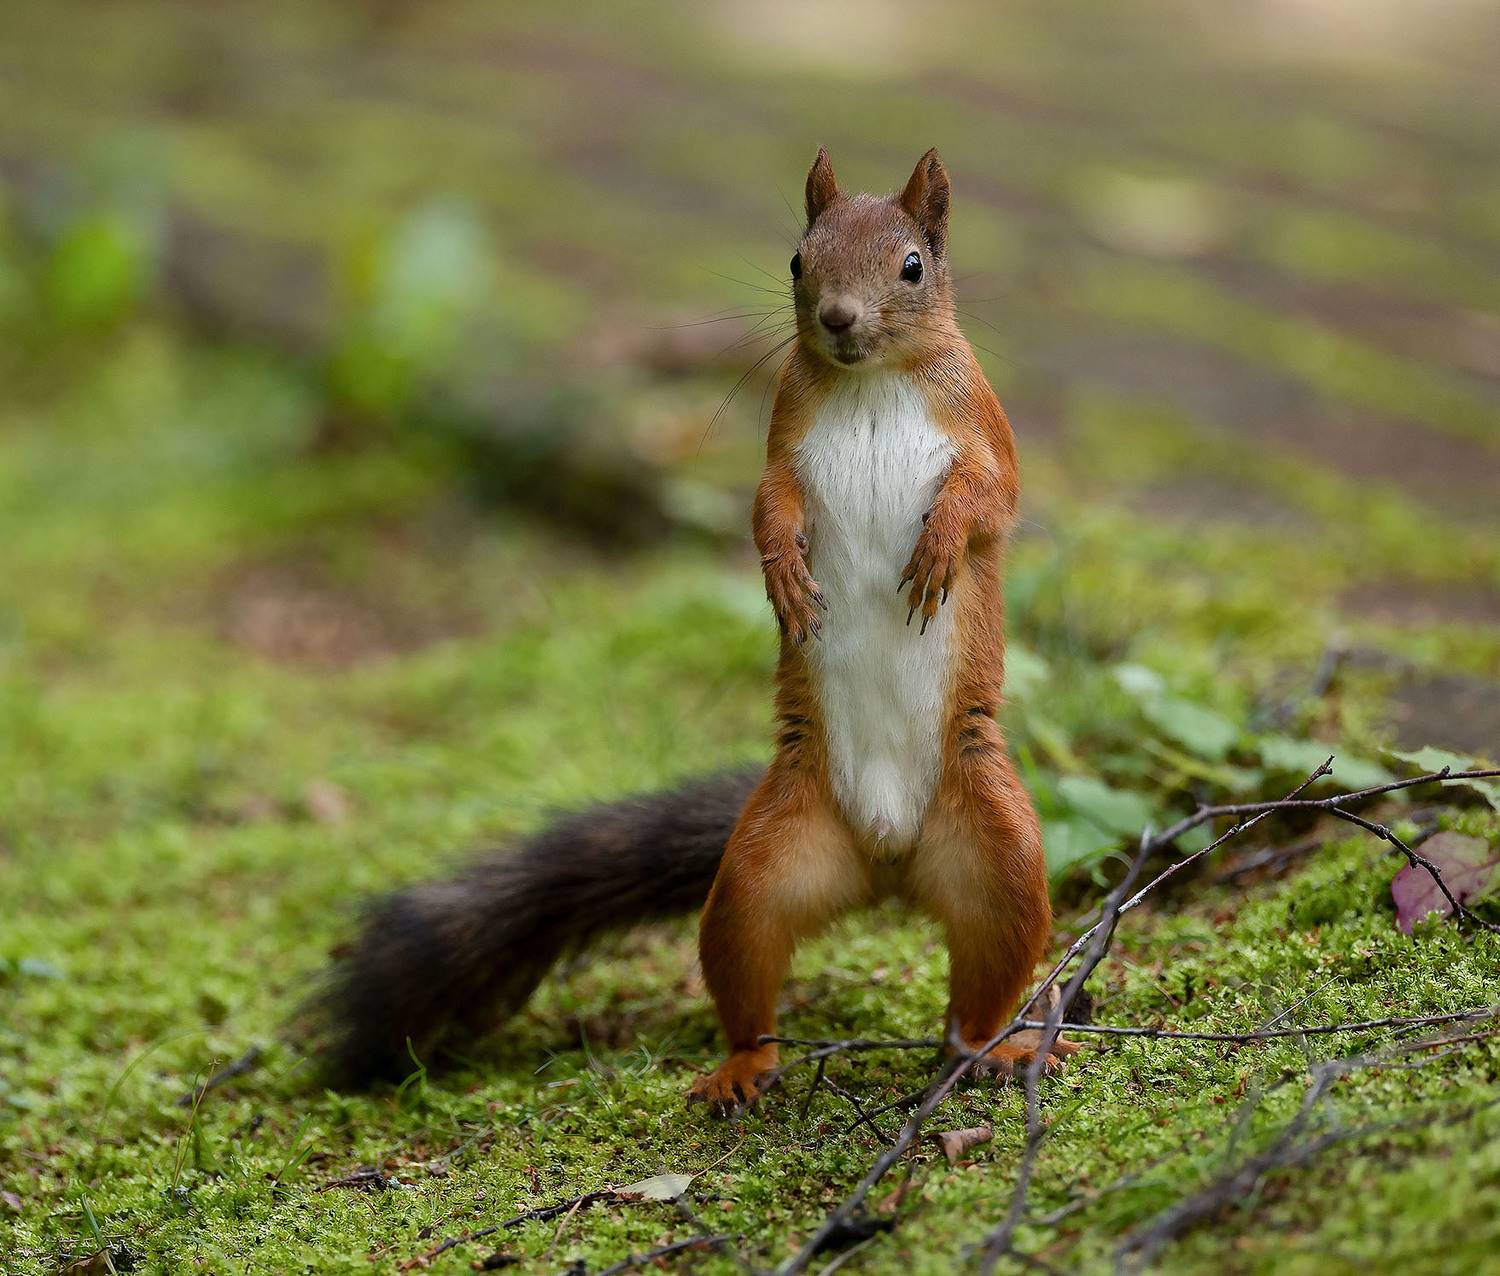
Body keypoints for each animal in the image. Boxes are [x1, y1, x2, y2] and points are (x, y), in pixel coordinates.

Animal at [318, 148, 1072, 1112]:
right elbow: (765, 507)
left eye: (912, 266)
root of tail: (888, 861)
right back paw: (741, 1068)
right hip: (760, 870)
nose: (838, 317)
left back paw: (995, 1050)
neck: (872, 382)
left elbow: (992, 497)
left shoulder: (983, 423)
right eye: (797, 259)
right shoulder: (783, 442)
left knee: (983, 985)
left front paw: (941, 544)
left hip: (998, 853)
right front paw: (781, 575)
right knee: (747, 970)